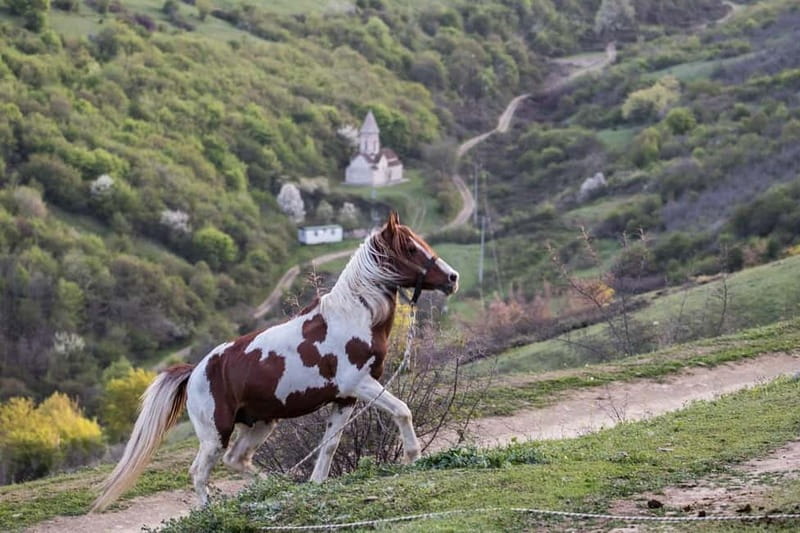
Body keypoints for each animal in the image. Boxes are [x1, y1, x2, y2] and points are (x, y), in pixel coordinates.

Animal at [91, 212, 459, 511]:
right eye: (410, 248)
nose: (452, 278)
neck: (354, 315)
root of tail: (195, 371)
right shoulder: (361, 384)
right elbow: (402, 410)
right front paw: (414, 456)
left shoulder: (346, 398)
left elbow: (329, 446)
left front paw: (315, 485)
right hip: (215, 433)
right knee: (199, 471)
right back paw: (210, 510)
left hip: (261, 423)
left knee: (236, 459)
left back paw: (273, 487)